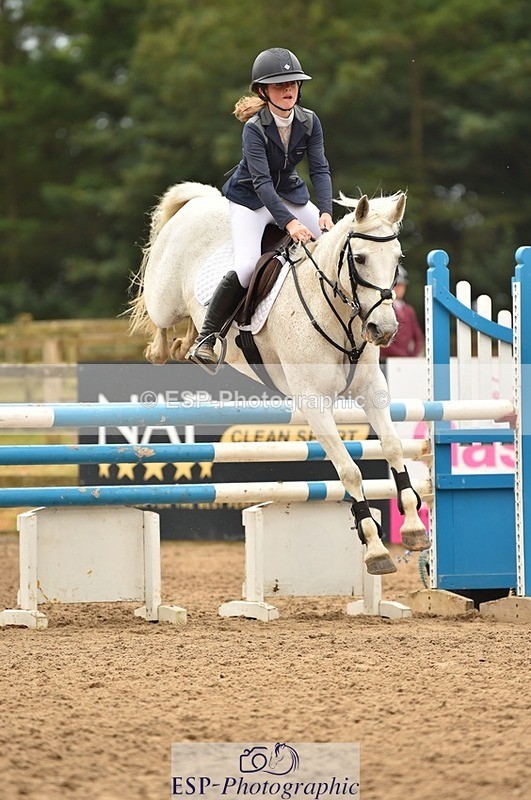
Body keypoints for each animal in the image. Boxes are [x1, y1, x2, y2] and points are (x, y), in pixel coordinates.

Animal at [128, 182, 429, 575]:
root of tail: (202, 201)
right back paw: (167, 348)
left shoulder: (371, 390)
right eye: (361, 259)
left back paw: (194, 343)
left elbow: (393, 447)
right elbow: (349, 471)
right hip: (164, 298)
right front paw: (375, 549)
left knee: (191, 326)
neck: (335, 314)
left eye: (398, 258)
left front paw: (414, 528)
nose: (385, 329)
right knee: (160, 322)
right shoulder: (314, 403)